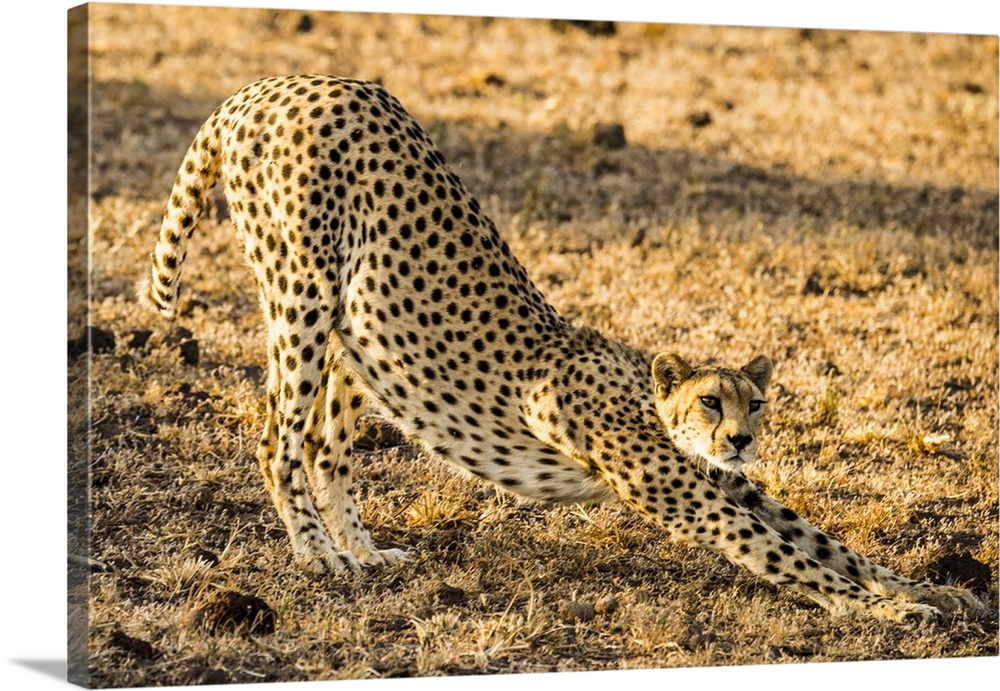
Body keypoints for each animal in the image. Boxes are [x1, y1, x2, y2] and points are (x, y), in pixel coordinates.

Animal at [139, 74, 984, 620]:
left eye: (756, 402)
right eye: (711, 400)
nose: (742, 438)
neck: (655, 403)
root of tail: (273, 84)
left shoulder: (724, 483)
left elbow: (827, 541)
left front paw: (928, 589)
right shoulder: (692, 494)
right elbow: (792, 556)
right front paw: (889, 612)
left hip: (357, 329)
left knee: (327, 448)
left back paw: (366, 550)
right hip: (303, 294)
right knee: (276, 440)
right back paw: (322, 557)